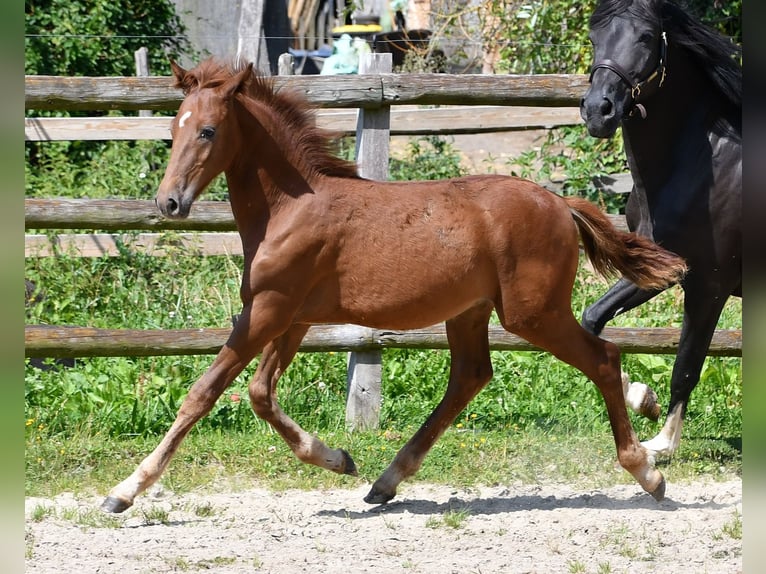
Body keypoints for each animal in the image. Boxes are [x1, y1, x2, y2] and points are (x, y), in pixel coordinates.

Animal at [584, 0, 744, 460]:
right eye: (594, 37)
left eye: (646, 37)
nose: (597, 110)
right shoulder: (664, 266)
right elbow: (593, 318)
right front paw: (643, 399)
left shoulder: (710, 285)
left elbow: (687, 365)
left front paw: (661, 444)